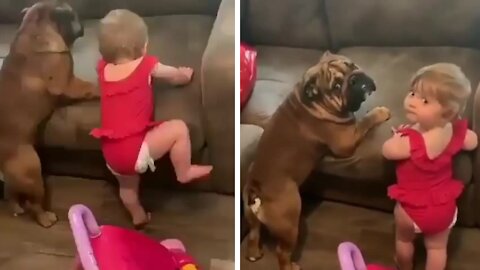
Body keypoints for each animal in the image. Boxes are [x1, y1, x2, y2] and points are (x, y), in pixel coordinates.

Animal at [0, 0, 98, 228]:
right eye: (70, 15)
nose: (81, 24)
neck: (34, 31)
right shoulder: (68, 83)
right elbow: (88, 86)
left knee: (12, 193)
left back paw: (16, 208)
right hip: (32, 172)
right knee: (35, 204)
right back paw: (45, 218)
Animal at [244, 51, 390, 270]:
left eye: (351, 65)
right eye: (336, 86)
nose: (355, 79)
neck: (312, 101)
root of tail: (257, 187)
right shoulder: (346, 142)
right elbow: (365, 121)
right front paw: (379, 112)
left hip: (250, 215)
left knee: (254, 232)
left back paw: (254, 253)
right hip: (290, 221)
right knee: (281, 251)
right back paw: (291, 266)